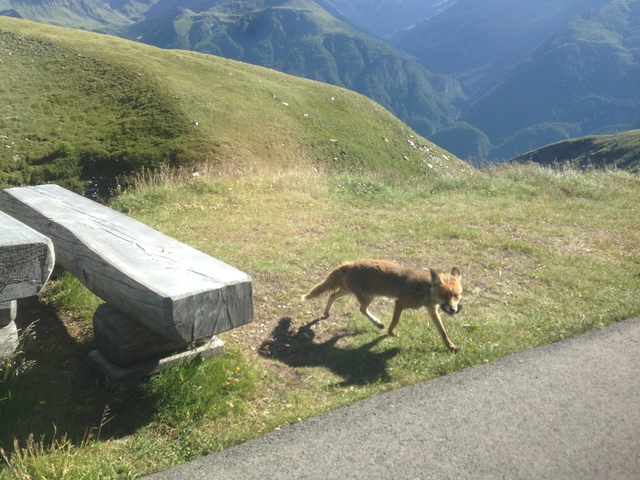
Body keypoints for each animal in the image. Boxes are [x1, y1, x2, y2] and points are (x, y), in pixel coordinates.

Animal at [302, 260, 462, 350]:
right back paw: (378, 323)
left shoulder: (432, 310)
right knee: (361, 308)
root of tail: (350, 263)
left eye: (457, 296)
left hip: (349, 290)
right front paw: (390, 333)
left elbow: (443, 332)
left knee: (332, 295)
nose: (454, 310)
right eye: (445, 296)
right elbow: (395, 321)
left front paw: (451, 346)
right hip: (367, 297)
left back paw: (327, 313)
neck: (424, 290)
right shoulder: (400, 302)